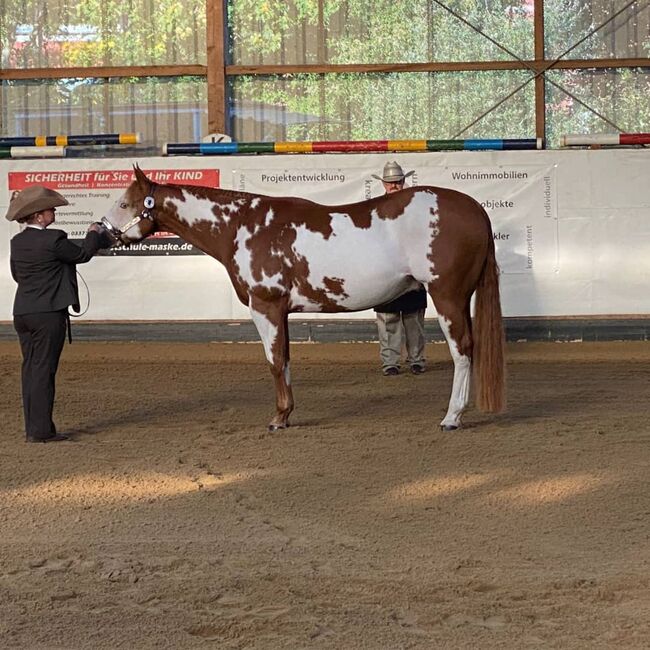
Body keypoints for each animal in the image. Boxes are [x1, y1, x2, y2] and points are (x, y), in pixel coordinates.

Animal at [104, 166, 504, 430]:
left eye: (124, 204)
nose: (100, 231)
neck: (242, 228)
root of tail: (475, 209)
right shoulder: (280, 312)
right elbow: (285, 360)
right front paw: (287, 413)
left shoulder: (264, 307)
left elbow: (274, 361)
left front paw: (278, 418)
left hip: (448, 296)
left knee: (463, 351)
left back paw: (452, 417)